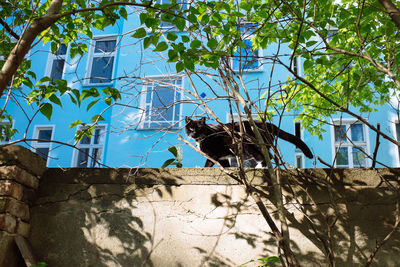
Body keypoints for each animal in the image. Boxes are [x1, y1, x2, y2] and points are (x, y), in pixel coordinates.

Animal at [184, 117, 312, 168]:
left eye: (199, 128)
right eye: (190, 128)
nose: (193, 133)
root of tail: (267, 124)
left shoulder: (213, 154)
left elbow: (208, 164)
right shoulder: (222, 157)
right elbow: (226, 165)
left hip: (251, 145)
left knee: (266, 157)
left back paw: (259, 167)